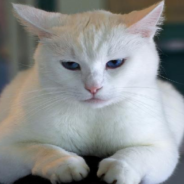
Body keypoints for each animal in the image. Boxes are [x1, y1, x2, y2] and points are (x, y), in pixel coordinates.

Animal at [0, 1, 184, 184]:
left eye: (115, 63)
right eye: (71, 65)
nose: (93, 87)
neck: (94, 117)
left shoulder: (163, 146)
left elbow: (137, 153)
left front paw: (119, 168)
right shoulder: (7, 145)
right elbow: (41, 148)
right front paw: (65, 164)